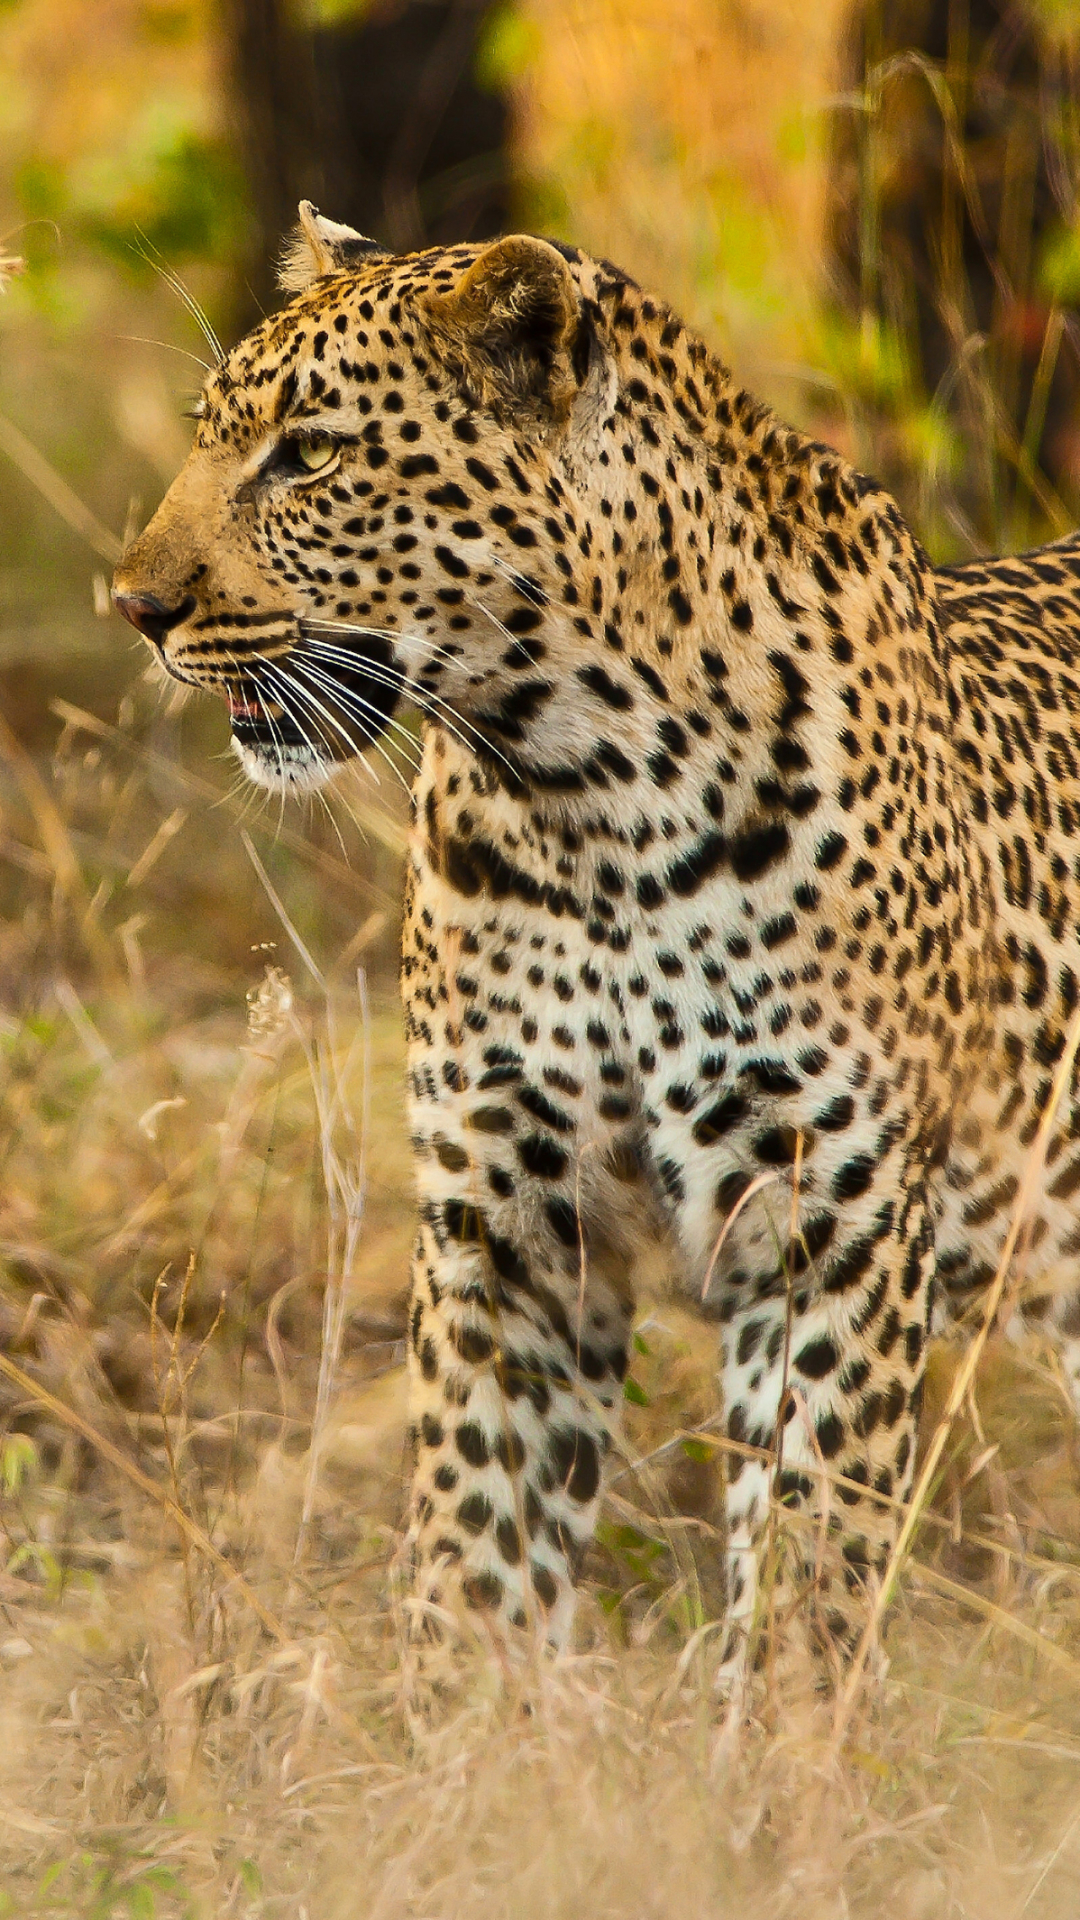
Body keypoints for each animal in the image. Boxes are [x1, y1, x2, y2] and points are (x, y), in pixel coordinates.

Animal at [111, 206, 1080, 1681]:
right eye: (211, 434)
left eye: (311, 453)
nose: (135, 607)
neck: (590, 795)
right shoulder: (506, 1225)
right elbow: (477, 1555)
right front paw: (464, 1734)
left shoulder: (831, 1232)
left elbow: (804, 1577)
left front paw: (776, 1746)